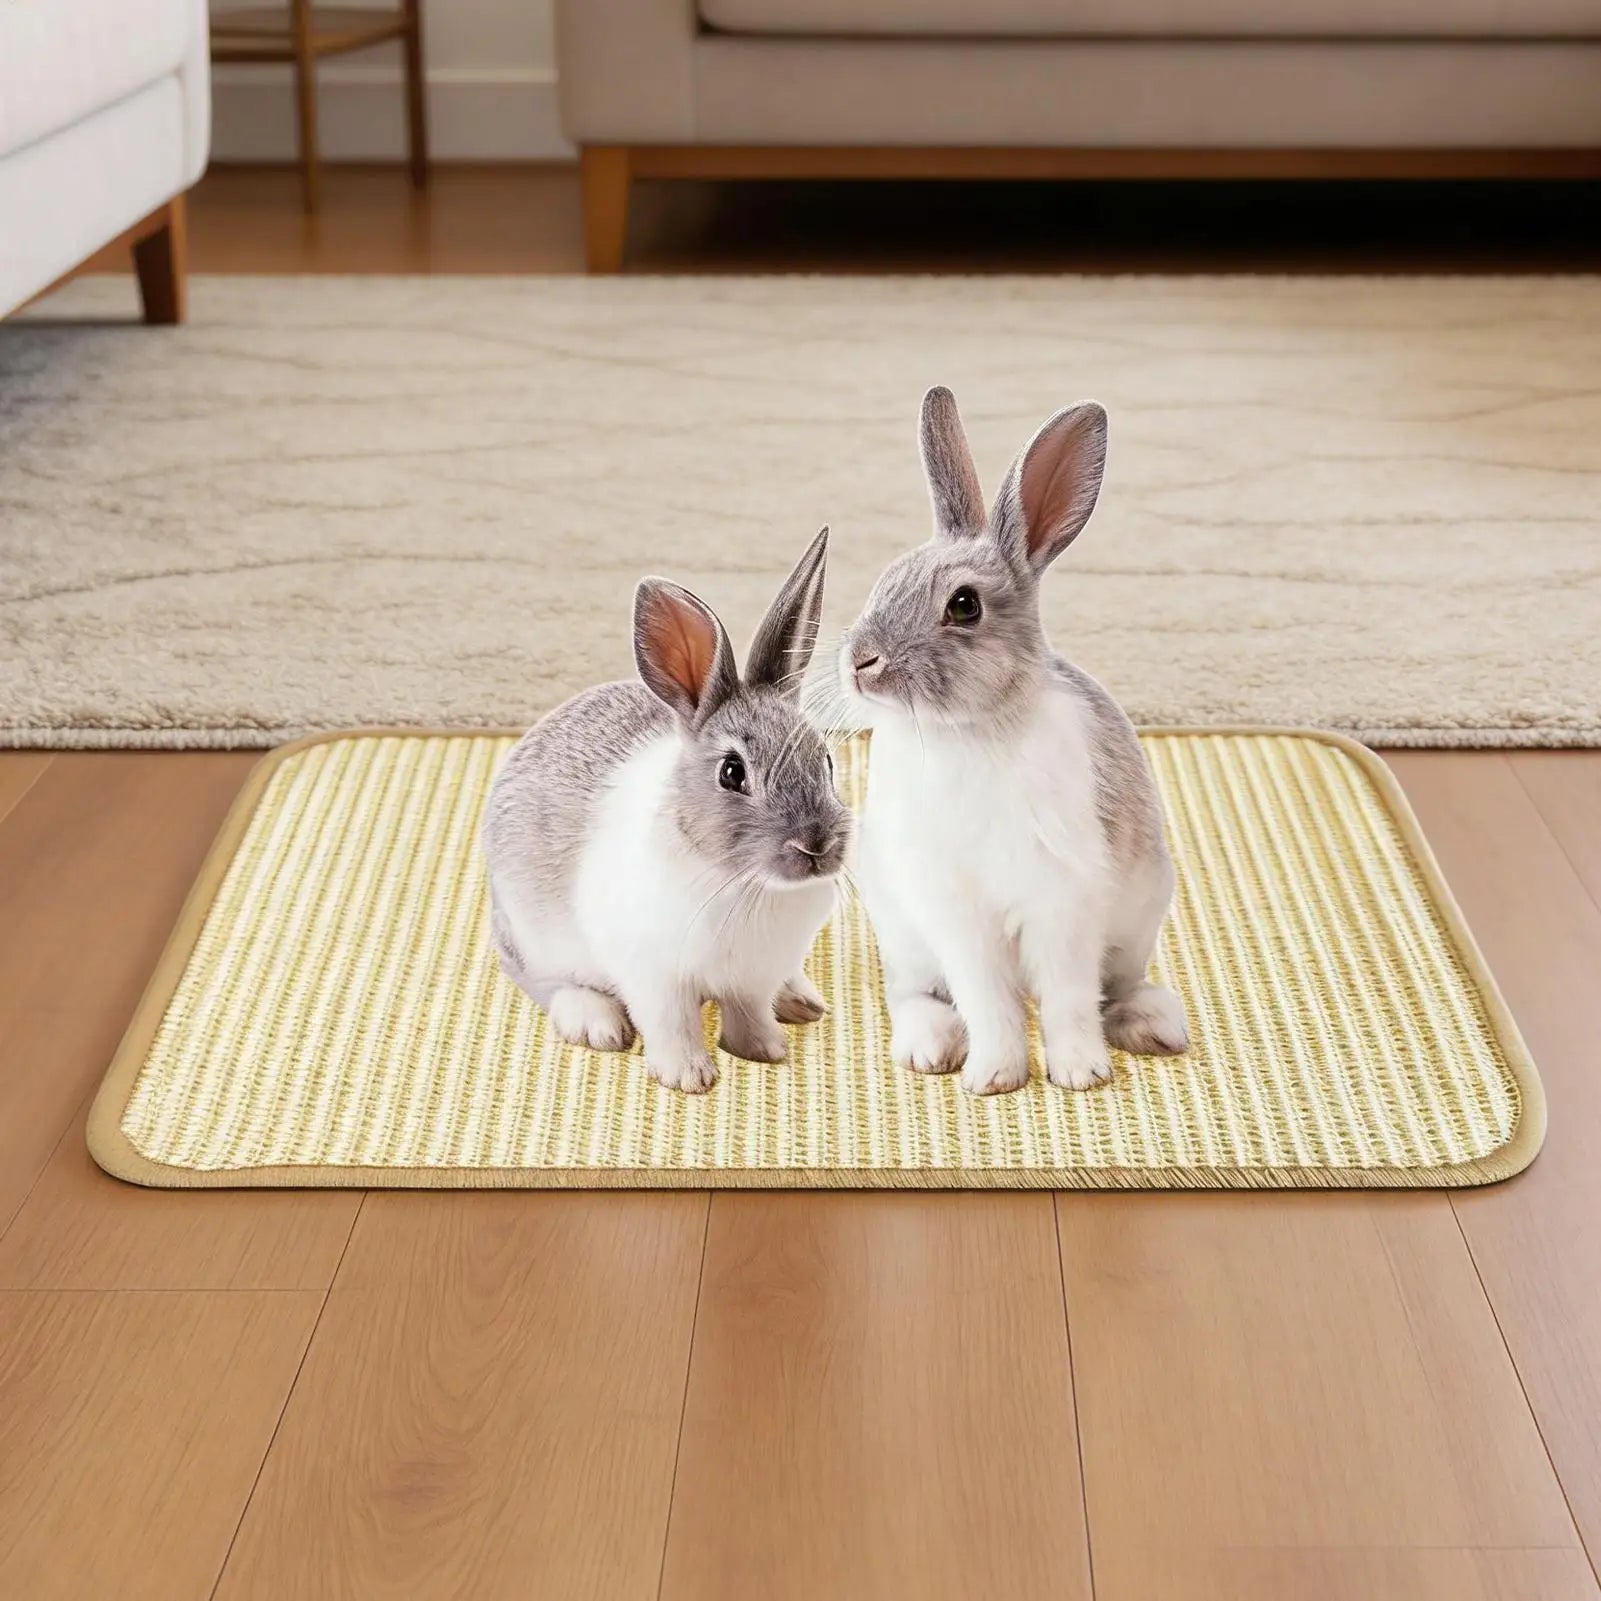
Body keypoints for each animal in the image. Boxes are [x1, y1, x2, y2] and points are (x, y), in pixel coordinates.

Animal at [483, 527, 851, 1094]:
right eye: (732, 773)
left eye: (827, 760)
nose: (816, 844)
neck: (743, 883)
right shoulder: (654, 977)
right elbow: (671, 1024)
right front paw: (689, 1077)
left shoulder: (752, 978)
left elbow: (749, 1014)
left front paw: (766, 1051)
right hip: (532, 938)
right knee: (544, 982)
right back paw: (596, 1024)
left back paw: (802, 1002)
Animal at [833, 387, 1188, 1096]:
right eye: (886, 578)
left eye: (964, 606)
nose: (860, 662)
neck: (969, 730)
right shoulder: (957, 915)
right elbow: (987, 1000)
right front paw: (993, 1076)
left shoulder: (1064, 902)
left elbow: (1069, 999)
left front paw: (1079, 1073)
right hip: (903, 932)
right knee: (912, 994)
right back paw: (929, 1048)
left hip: (1137, 922)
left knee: (1114, 989)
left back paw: (1155, 1026)